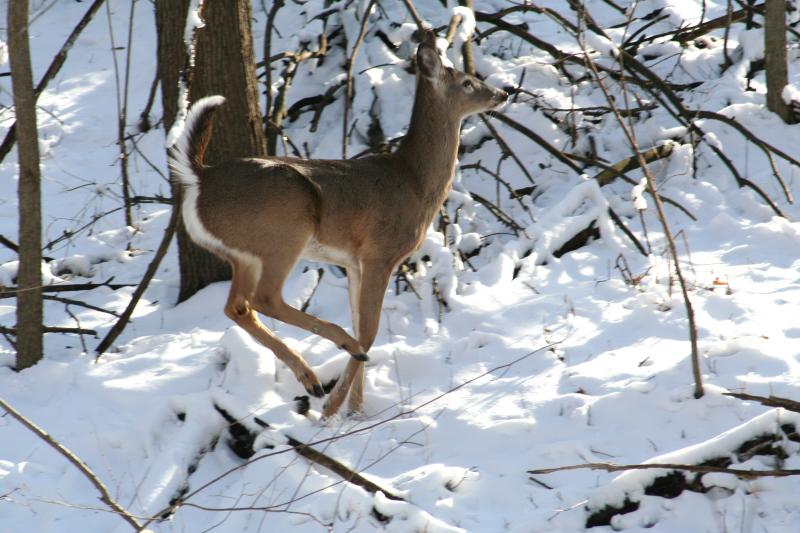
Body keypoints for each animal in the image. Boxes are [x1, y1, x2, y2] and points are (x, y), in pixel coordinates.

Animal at [170, 34, 506, 416]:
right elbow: (369, 330)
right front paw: (335, 409)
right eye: (467, 82)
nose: (502, 93)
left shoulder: (353, 261)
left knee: (237, 306)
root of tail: (200, 177)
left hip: (243, 253)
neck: (414, 181)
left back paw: (313, 377)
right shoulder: (379, 253)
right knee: (266, 298)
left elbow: (362, 323)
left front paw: (355, 410)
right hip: (284, 230)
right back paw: (327, 372)